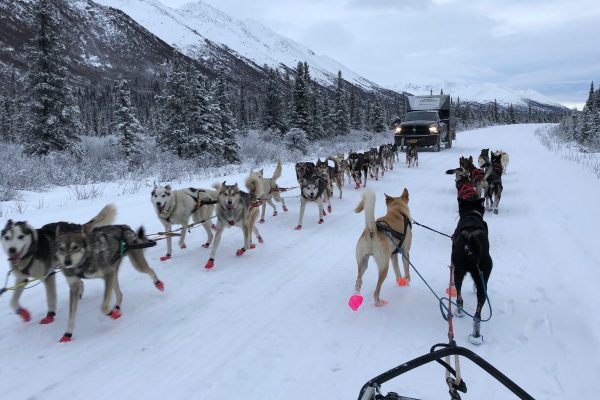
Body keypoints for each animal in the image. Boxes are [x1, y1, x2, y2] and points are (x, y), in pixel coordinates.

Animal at [450, 184, 492, 344]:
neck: (471, 215)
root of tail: (469, 243)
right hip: (482, 277)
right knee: (477, 311)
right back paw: (476, 333)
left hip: (459, 272)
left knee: (460, 297)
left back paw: (460, 312)